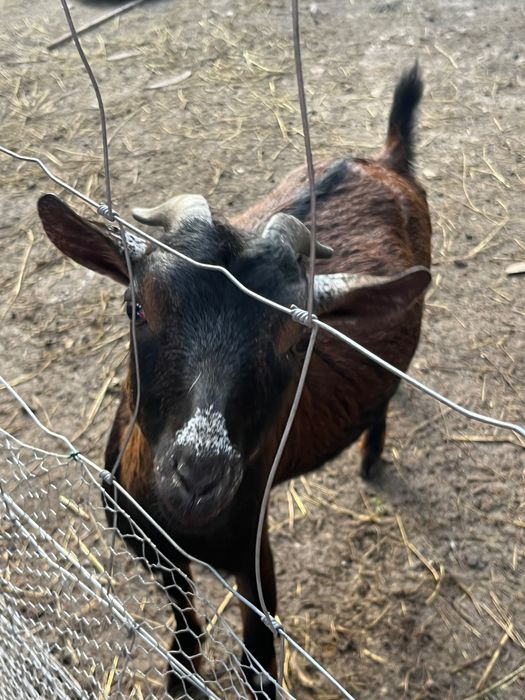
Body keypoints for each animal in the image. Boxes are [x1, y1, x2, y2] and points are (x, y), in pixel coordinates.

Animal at [37, 63, 431, 698]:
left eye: (296, 342)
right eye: (136, 306)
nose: (200, 473)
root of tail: (385, 160)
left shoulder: (252, 554)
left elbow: (258, 660)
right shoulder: (147, 542)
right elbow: (184, 615)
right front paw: (181, 670)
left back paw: (371, 459)